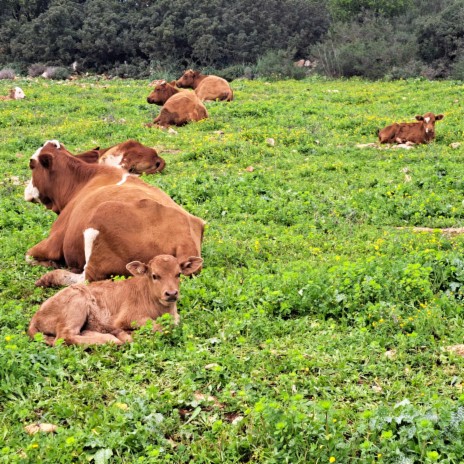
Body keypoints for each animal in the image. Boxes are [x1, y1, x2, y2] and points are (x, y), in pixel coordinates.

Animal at [24, 140, 205, 286]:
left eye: (31, 164)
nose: (25, 191)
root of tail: (185, 240)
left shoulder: (54, 239)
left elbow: (29, 255)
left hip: (100, 217)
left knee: (87, 278)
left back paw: (49, 277)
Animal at [28, 252, 203, 346]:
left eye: (178, 274)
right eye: (154, 275)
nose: (171, 293)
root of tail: (37, 315)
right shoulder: (129, 317)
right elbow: (158, 327)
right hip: (76, 305)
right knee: (65, 336)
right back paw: (112, 339)